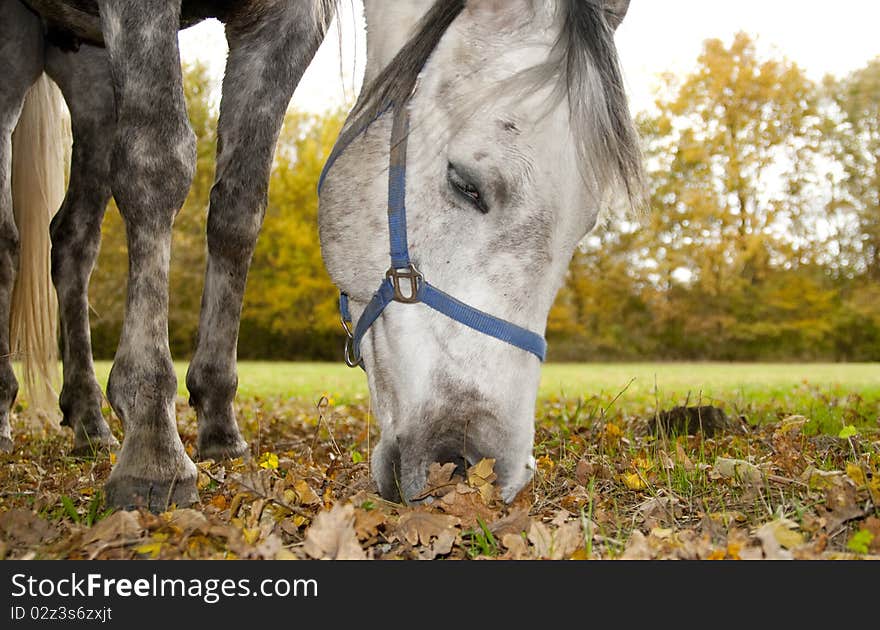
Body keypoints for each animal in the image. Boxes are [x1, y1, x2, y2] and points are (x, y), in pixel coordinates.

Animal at [1, 0, 648, 512]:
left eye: (585, 227)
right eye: (467, 185)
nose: (480, 468)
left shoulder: (283, 24)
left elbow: (237, 211)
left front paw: (219, 423)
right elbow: (158, 165)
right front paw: (154, 446)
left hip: (89, 73)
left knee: (73, 240)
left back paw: (88, 419)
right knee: (13, 240)